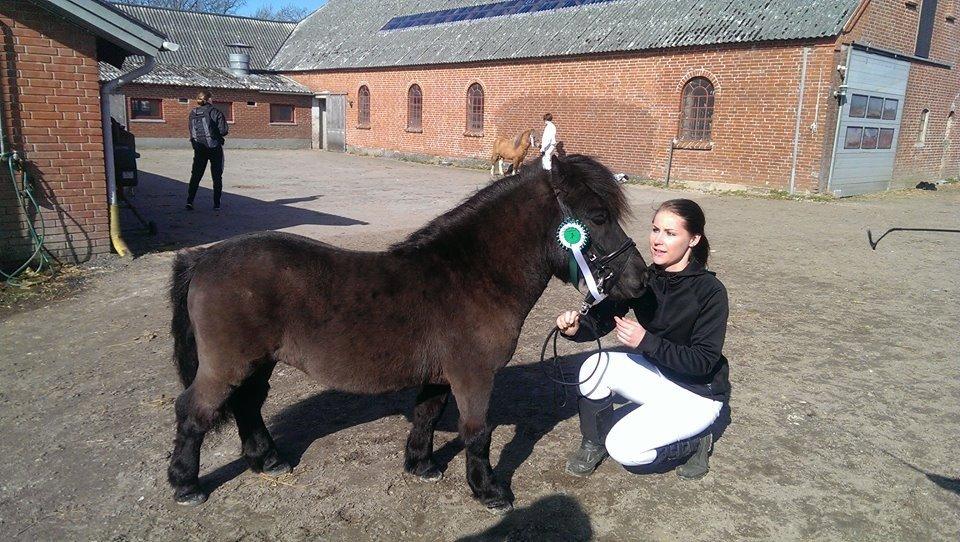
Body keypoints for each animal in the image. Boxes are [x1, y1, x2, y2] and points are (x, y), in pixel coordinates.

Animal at [167, 154, 644, 516]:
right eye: (598, 216)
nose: (639, 280)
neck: (471, 276)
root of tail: (204, 258)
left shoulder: (440, 376)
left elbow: (427, 415)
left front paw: (421, 465)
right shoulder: (474, 377)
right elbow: (477, 432)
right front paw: (489, 491)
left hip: (257, 363)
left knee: (247, 405)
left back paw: (268, 460)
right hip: (227, 365)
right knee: (194, 411)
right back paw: (186, 486)